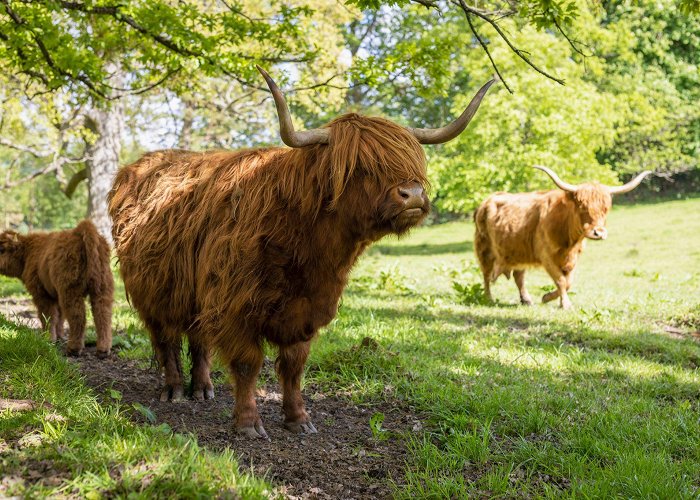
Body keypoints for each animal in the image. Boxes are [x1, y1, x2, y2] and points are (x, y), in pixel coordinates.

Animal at [0, 219, 113, 356]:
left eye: (1, 250)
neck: (28, 252)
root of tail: (81, 230)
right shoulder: (56, 295)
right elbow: (60, 317)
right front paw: (59, 337)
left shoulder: (42, 294)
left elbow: (48, 316)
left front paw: (48, 338)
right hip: (102, 289)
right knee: (103, 316)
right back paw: (103, 350)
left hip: (71, 291)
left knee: (78, 316)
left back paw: (73, 349)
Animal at [106, 67, 494, 438]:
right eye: (362, 167)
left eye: (412, 162)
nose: (412, 195)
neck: (309, 248)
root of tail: (137, 167)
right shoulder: (235, 305)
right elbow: (247, 363)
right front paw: (248, 423)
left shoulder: (305, 308)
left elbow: (293, 367)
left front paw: (298, 419)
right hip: (154, 290)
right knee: (166, 339)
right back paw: (173, 389)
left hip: (196, 289)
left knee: (198, 337)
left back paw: (202, 389)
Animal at [474, 166, 652, 308]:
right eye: (581, 206)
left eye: (606, 208)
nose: (598, 232)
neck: (569, 241)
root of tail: (488, 200)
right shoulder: (546, 256)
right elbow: (560, 280)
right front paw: (564, 304)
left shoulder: (573, 258)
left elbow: (568, 282)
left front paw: (547, 298)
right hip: (484, 250)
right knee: (486, 275)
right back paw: (488, 299)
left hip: (518, 252)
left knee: (519, 276)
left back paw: (526, 300)